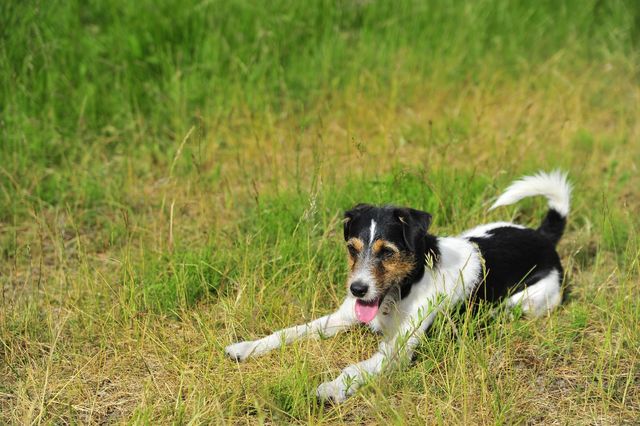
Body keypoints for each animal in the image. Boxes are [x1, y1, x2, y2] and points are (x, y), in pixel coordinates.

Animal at [225, 171, 568, 402]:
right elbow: (290, 331)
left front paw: (333, 387)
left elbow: (355, 368)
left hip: (528, 301)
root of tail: (542, 237)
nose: (357, 289)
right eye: (352, 249)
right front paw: (247, 347)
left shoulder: (396, 350)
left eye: (387, 252)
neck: (402, 289)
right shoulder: (340, 317)